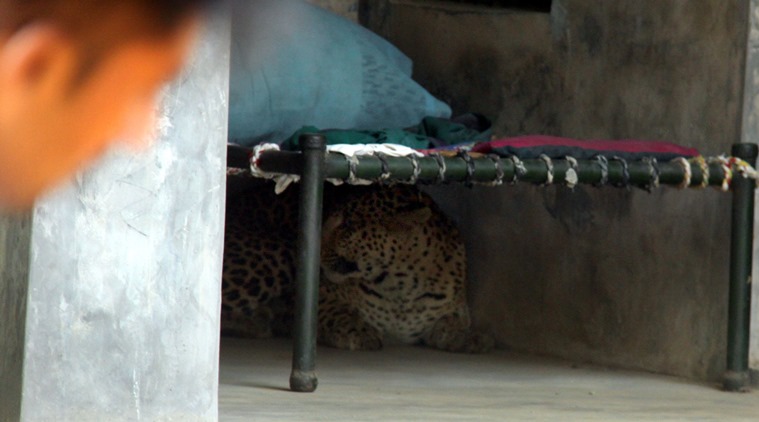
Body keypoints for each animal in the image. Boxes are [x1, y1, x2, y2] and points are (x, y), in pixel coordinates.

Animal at [221, 177, 494, 353]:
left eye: (346, 226)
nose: (312, 247)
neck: (399, 285)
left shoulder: (449, 308)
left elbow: (451, 323)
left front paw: (470, 337)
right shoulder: (311, 298)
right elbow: (334, 312)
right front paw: (358, 330)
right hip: (282, 252)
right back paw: (259, 322)